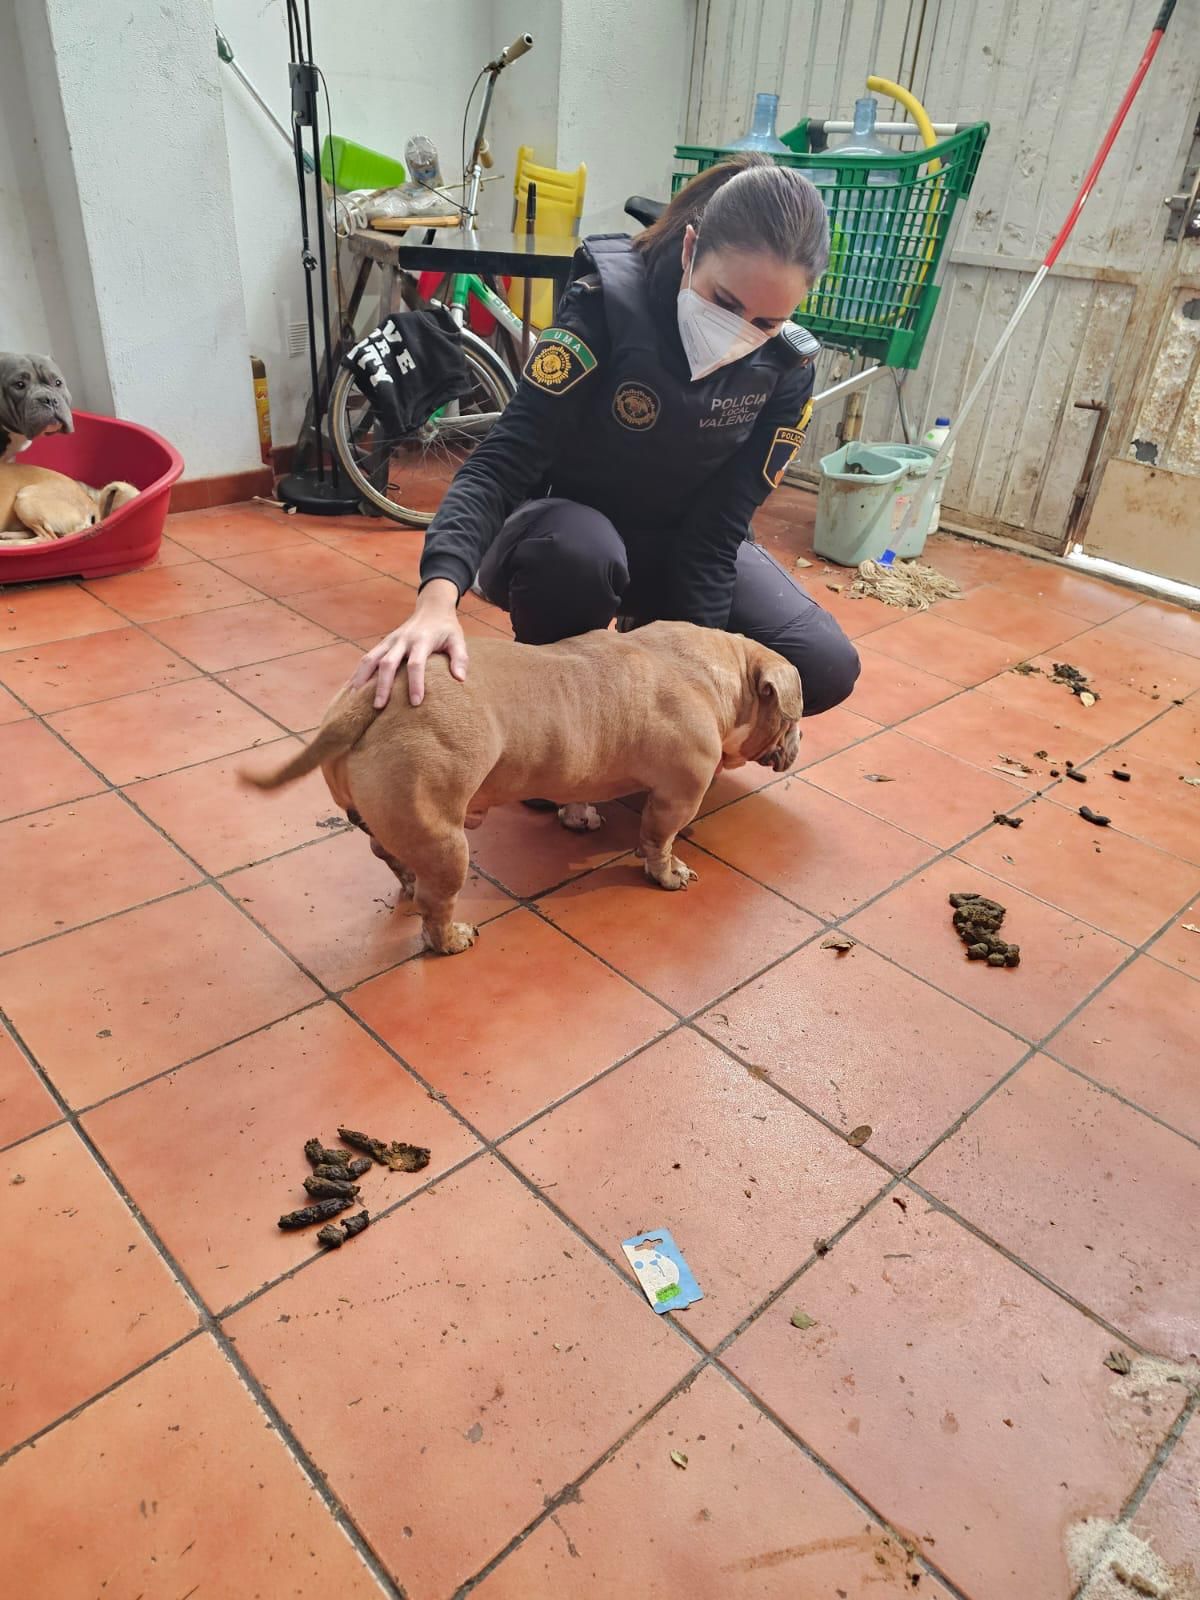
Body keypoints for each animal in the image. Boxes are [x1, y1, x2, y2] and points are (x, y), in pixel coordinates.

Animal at [244, 617, 803, 953]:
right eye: (794, 719)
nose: (799, 745)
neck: (716, 669)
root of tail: (370, 701)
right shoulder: (676, 797)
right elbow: (658, 842)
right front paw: (668, 873)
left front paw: (580, 815)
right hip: (445, 839)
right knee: (435, 906)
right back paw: (451, 938)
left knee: (390, 854)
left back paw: (405, 880)